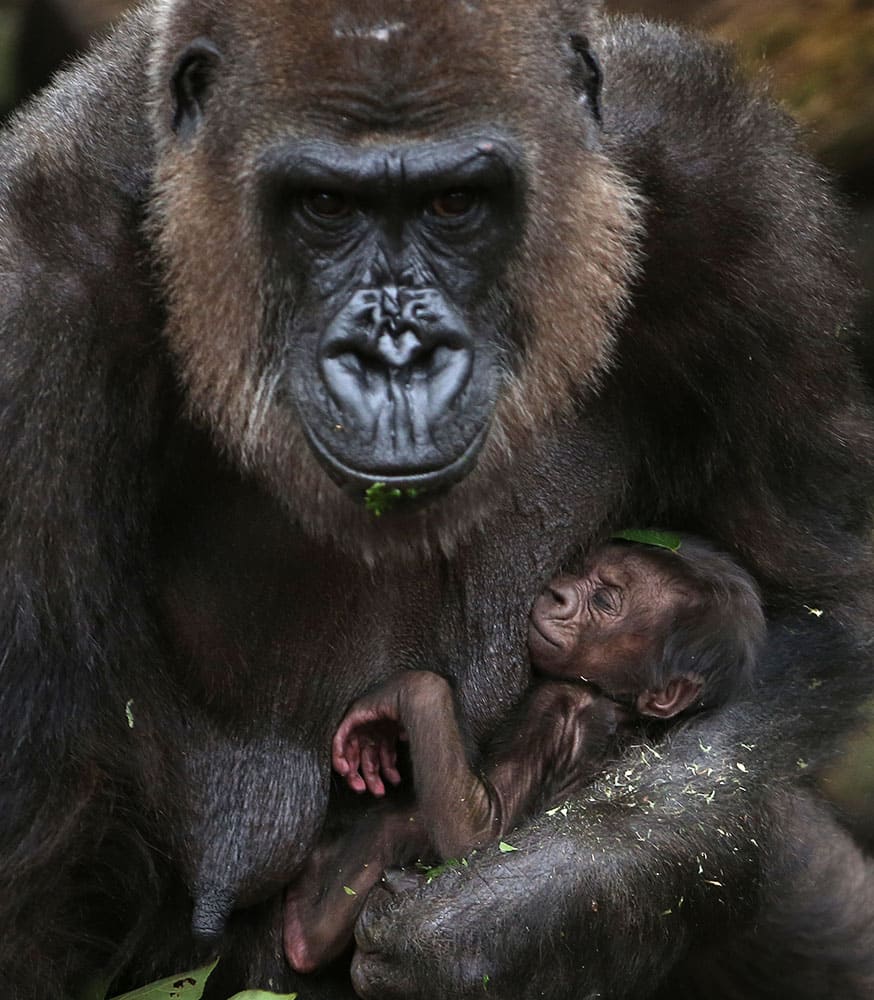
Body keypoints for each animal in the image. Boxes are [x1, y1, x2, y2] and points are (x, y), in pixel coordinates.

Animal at [282, 536, 760, 972]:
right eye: (581, 569)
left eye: (604, 599)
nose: (559, 592)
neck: (618, 700)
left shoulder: (556, 706)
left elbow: (481, 829)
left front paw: (407, 694)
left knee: (395, 826)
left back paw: (307, 932)